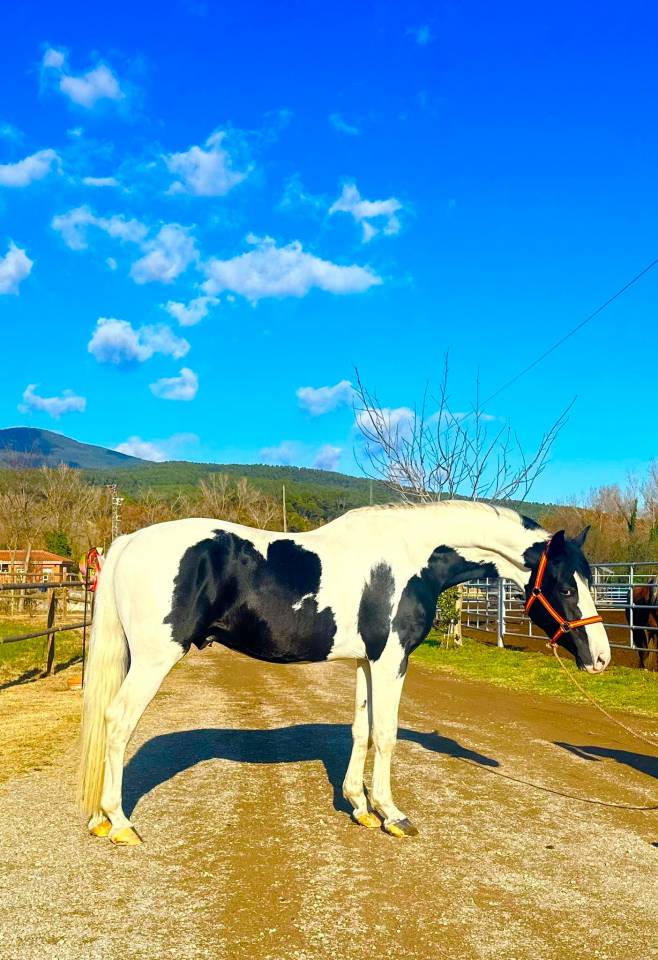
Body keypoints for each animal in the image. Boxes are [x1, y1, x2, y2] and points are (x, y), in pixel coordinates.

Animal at [79, 500, 610, 845]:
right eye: (565, 587)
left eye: (588, 580)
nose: (602, 658)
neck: (412, 557)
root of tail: (127, 541)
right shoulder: (392, 659)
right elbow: (387, 734)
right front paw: (393, 815)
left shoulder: (365, 662)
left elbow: (361, 730)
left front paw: (360, 807)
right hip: (154, 658)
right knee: (118, 722)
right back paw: (119, 823)